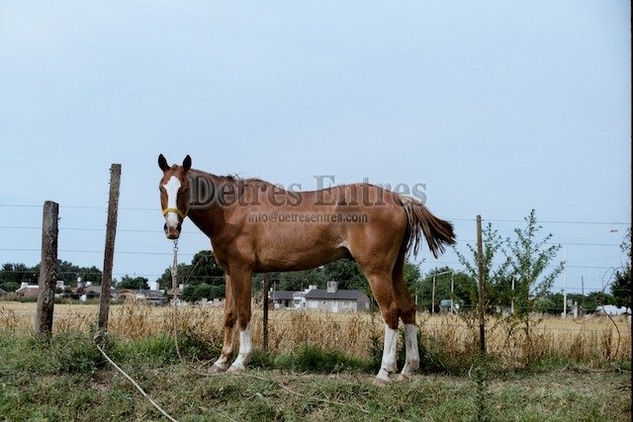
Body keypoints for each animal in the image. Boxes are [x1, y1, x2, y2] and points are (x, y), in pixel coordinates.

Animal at [158, 154, 454, 382]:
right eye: (162, 187)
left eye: (184, 188)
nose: (171, 228)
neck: (231, 209)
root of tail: (398, 199)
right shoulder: (230, 271)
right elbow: (229, 314)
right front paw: (220, 361)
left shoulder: (243, 270)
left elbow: (243, 313)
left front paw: (240, 362)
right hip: (395, 270)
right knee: (407, 309)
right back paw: (407, 369)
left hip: (377, 272)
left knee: (390, 312)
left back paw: (385, 371)